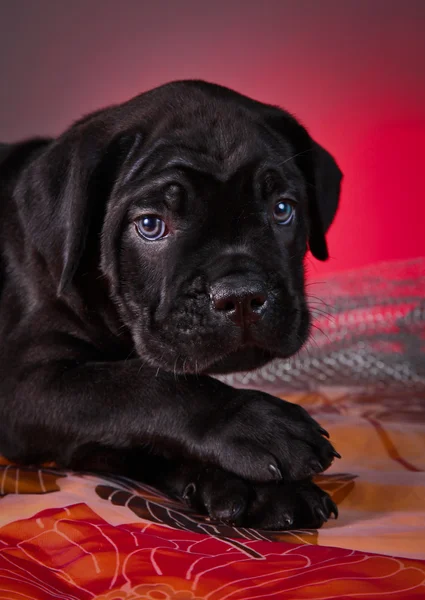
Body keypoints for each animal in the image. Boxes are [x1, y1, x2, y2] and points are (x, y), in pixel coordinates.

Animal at [0, 81, 340, 528]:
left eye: (282, 209)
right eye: (150, 224)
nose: (240, 294)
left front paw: (265, 490)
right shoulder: (25, 386)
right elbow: (141, 385)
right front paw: (252, 423)